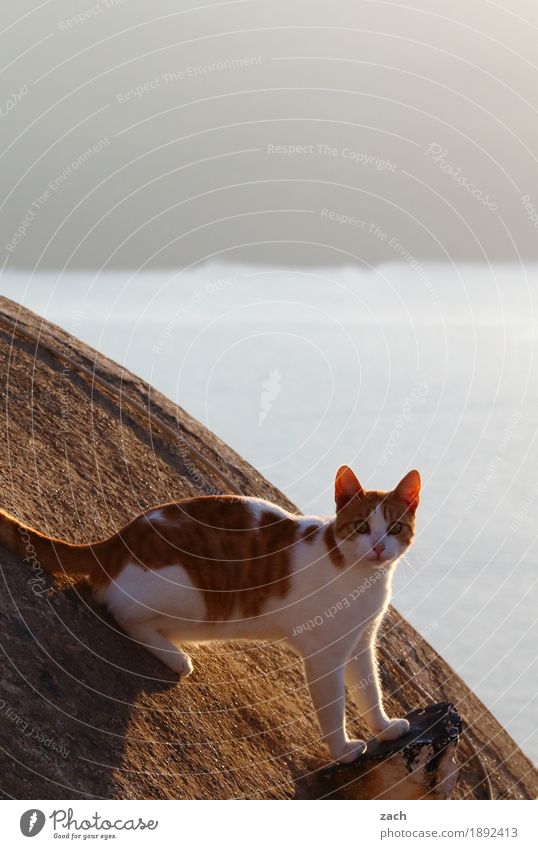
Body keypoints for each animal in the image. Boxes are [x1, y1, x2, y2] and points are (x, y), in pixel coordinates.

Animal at [0, 468, 418, 764]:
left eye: (395, 527)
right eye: (361, 526)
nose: (379, 548)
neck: (360, 575)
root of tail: (115, 542)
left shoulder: (361, 643)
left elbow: (369, 689)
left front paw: (384, 728)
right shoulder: (325, 656)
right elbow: (333, 708)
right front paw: (342, 750)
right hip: (200, 602)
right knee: (118, 608)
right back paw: (176, 657)